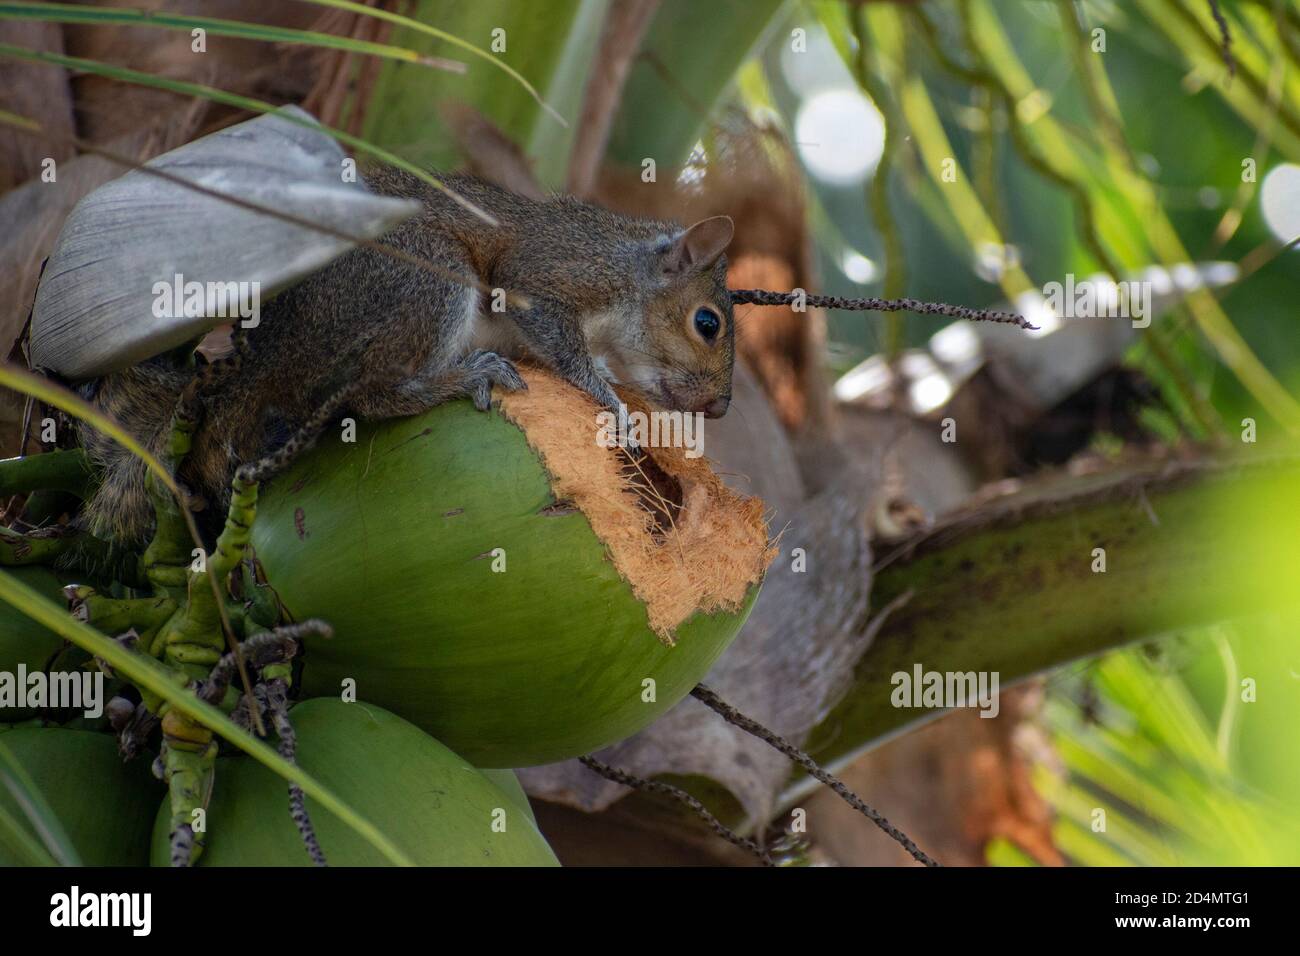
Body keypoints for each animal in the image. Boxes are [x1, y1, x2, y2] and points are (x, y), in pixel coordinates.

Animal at [76, 165, 737, 547]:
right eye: (707, 323)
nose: (721, 408)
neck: (627, 264)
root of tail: (269, 361)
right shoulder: (548, 275)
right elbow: (556, 335)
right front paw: (610, 400)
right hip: (429, 274)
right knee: (375, 394)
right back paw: (462, 377)